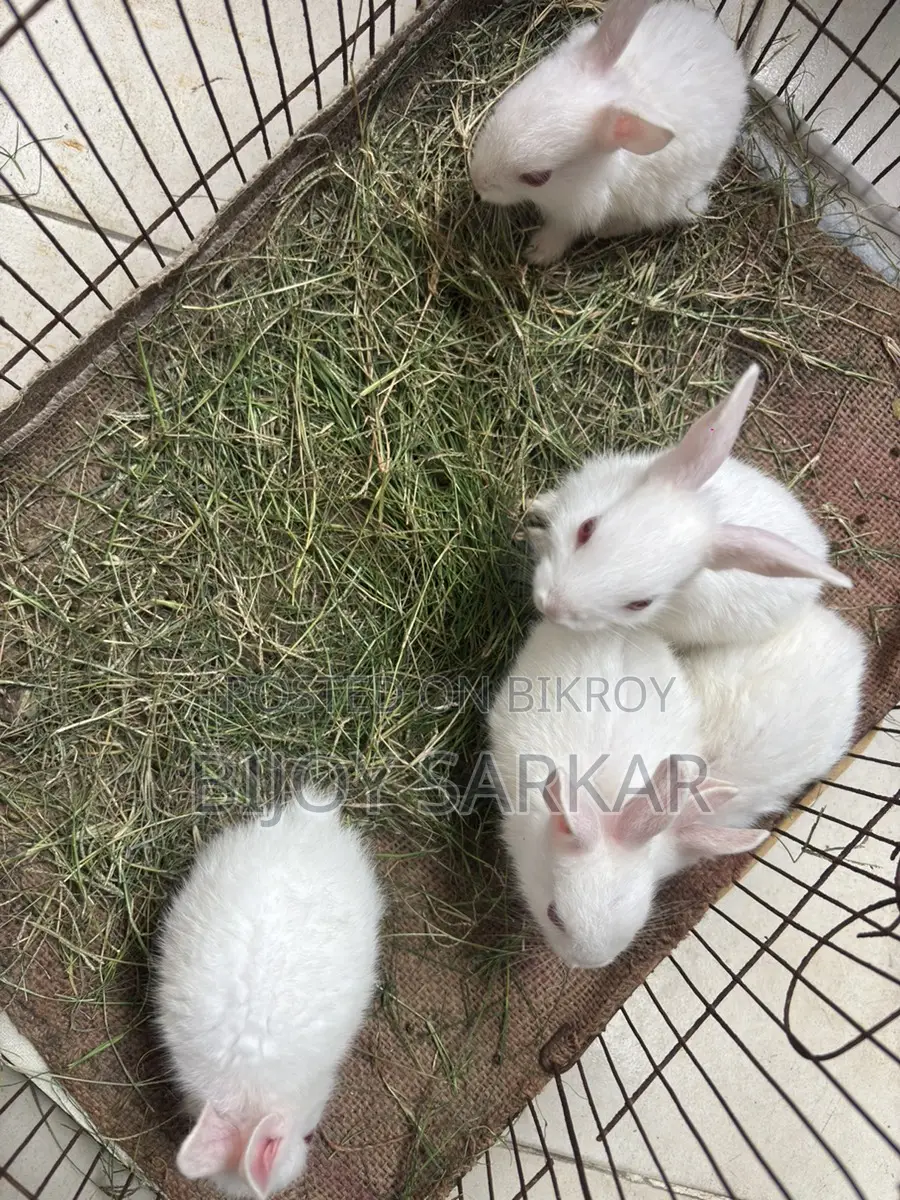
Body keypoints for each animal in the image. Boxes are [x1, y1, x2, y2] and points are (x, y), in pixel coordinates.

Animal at [468, 0, 749, 264]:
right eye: (503, 105)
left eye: (537, 178)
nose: (478, 183)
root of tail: (731, 55)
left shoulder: (577, 210)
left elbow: (563, 229)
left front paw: (538, 252)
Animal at [526, 362, 853, 649]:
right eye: (587, 528)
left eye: (640, 604)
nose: (551, 605)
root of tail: (817, 543)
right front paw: (533, 506)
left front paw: (531, 535)